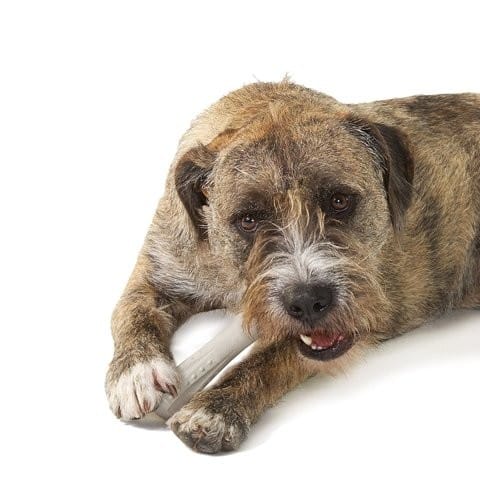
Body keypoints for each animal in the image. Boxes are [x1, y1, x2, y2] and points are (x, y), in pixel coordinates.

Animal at [105, 80, 480, 453]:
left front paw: (215, 408)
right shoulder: (160, 267)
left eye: (339, 200)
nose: (309, 300)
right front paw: (136, 373)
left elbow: (273, 355)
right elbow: (130, 309)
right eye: (248, 219)